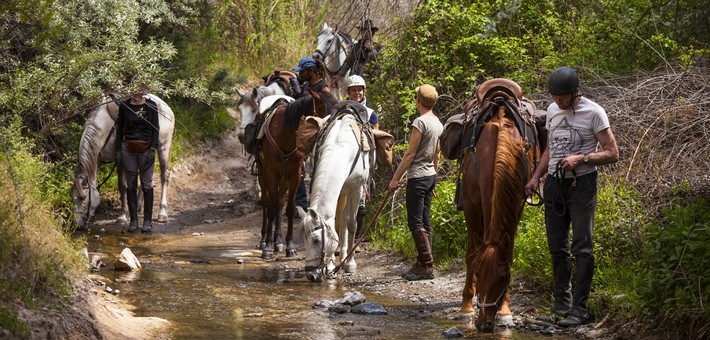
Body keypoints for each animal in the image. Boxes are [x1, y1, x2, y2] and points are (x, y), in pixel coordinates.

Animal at [71, 94, 175, 230]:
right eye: (72, 198)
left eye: (83, 198)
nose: (77, 226)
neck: (107, 127)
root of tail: (166, 107)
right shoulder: (96, 160)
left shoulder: (120, 160)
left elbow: (122, 186)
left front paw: (122, 217)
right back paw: (139, 205)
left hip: (164, 147)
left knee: (164, 176)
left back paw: (162, 213)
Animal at [258, 89, 342, 258]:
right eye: (323, 109)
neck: (285, 135)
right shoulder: (271, 173)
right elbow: (270, 209)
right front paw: (267, 247)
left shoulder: (295, 174)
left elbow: (290, 209)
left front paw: (289, 246)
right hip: (262, 174)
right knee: (266, 202)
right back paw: (264, 240)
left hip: (284, 179)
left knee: (280, 202)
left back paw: (278, 242)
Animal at [300, 99, 372, 280]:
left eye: (316, 240)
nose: (310, 275)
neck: (341, 146)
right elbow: (333, 224)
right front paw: (332, 263)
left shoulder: (356, 190)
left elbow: (352, 224)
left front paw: (350, 264)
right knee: (340, 219)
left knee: (345, 219)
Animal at [458, 77, 544, 332]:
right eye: (480, 273)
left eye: (503, 278)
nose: (484, 324)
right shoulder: (471, 206)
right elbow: (471, 254)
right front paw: (467, 306)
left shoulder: (517, 204)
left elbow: (510, 252)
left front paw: (505, 311)